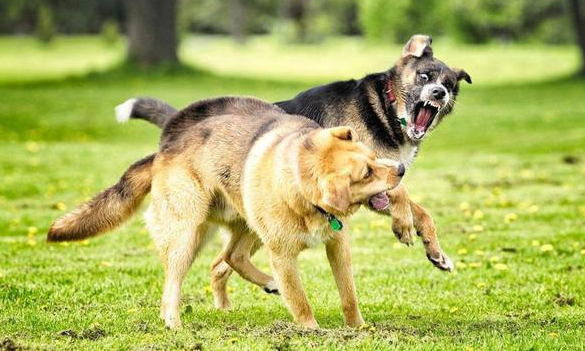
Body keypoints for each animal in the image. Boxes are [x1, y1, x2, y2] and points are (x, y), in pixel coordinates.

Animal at [46, 97, 406, 330]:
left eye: (373, 157)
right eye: (366, 174)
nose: (401, 169)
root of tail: (165, 148)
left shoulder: (337, 244)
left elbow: (348, 294)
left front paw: (358, 328)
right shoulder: (283, 255)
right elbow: (300, 300)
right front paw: (311, 331)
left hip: (248, 224)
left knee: (229, 258)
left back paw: (257, 289)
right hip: (188, 233)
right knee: (175, 282)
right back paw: (173, 322)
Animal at [114, 33, 470, 306]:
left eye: (449, 83)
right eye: (424, 76)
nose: (439, 93)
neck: (385, 108)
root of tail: (178, 128)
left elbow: (423, 212)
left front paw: (436, 252)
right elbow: (403, 197)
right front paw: (403, 226)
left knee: (221, 262)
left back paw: (229, 305)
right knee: (226, 259)